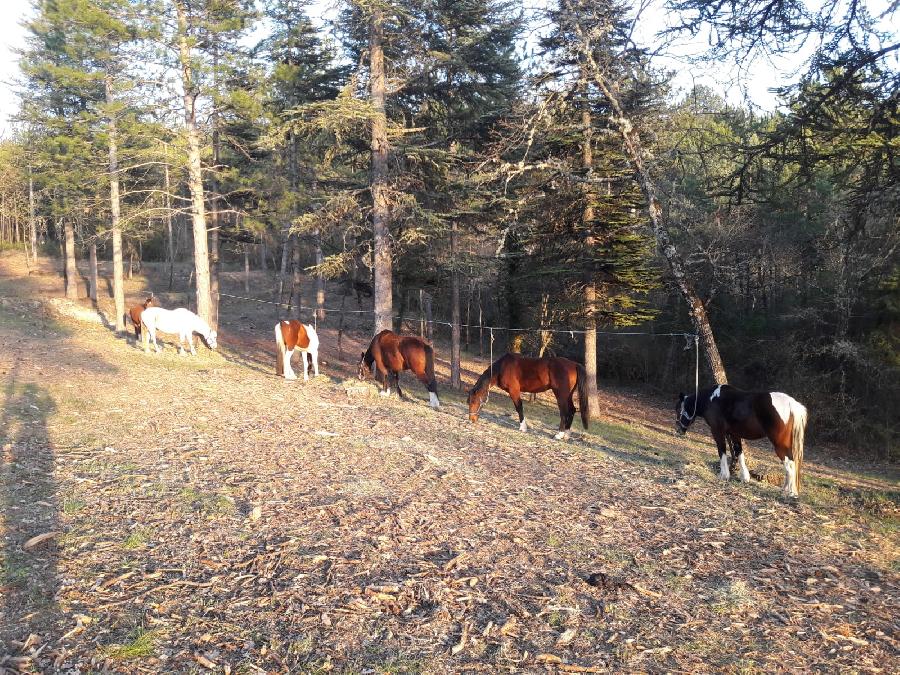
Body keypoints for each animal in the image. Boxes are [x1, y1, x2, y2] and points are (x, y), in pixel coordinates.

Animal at [464, 354, 592, 444]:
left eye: (474, 401)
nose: (472, 419)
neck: (502, 368)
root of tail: (574, 364)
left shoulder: (514, 391)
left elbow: (519, 408)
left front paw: (522, 427)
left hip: (561, 394)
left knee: (564, 412)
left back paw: (559, 434)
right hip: (568, 394)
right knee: (572, 410)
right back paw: (566, 434)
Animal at [676, 382, 808, 500]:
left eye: (678, 410)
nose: (678, 430)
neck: (711, 399)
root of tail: (791, 403)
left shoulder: (717, 432)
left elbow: (722, 451)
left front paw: (724, 475)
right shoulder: (735, 434)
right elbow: (739, 453)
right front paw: (744, 477)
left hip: (779, 445)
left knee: (789, 466)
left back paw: (789, 493)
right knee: (792, 463)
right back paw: (786, 490)